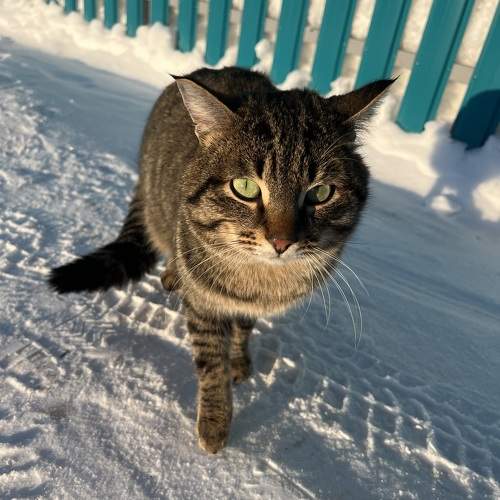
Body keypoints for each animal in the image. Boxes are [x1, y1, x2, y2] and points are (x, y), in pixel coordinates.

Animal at [49, 67, 392, 453]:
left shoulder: (249, 306)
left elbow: (243, 329)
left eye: (321, 193)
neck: (260, 279)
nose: (282, 242)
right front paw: (215, 422)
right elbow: (211, 364)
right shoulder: (203, 305)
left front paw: (240, 361)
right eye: (245, 188)